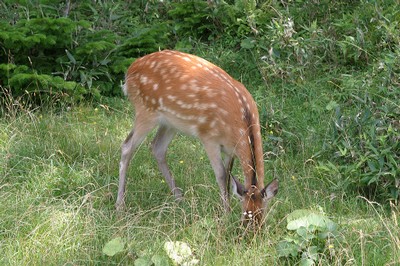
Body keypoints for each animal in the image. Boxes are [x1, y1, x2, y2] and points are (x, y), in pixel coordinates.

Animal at [115, 50, 278, 227]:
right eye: (245, 217)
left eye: (262, 216)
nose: (253, 231)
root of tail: (130, 70)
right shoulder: (208, 137)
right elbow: (221, 175)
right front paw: (226, 214)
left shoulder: (230, 150)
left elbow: (229, 175)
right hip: (145, 110)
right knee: (127, 147)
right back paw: (120, 205)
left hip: (170, 122)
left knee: (157, 147)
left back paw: (179, 198)